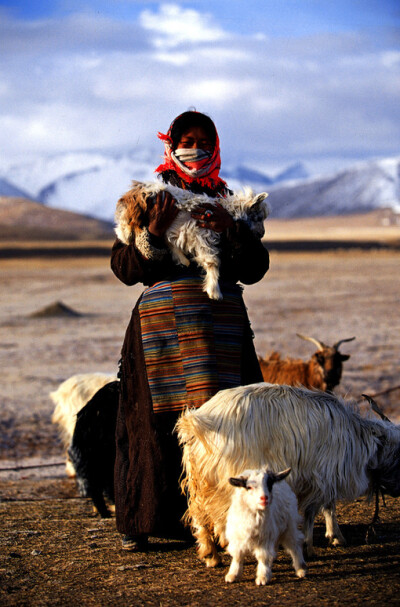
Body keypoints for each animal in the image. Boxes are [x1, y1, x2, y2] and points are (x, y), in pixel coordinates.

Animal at [113, 182, 268, 302]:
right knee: (129, 232)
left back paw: (183, 259)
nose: (262, 233)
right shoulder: (203, 237)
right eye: (259, 217)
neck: (227, 210)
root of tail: (130, 195)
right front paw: (214, 292)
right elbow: (212, 262)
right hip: (138, 216)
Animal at [177, 384, 400, 564]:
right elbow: (316, 511)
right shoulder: (321, 477)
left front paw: (335, 536)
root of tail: (198, 423)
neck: (358, 438)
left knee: (198, 512)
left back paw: (210, 554)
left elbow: (328, 507)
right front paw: (313, 546)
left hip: (202, 480)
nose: (397, 492)